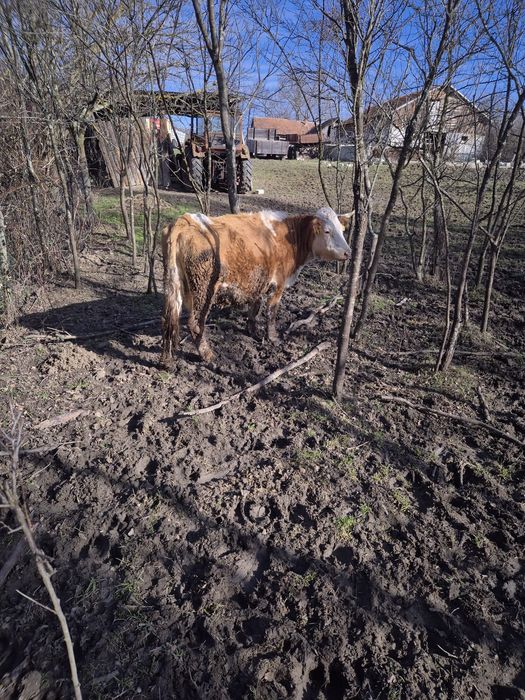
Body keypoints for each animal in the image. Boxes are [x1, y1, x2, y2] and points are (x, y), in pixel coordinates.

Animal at [160, 207, 352, 366]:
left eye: (342, 230)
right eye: (327, 231)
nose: (348, 252)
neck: (289, 236)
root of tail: (184, 221)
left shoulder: (259, 281)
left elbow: (255, 308)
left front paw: (253, 332)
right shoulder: (278, 284)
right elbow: (271, 312)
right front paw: (272, 337)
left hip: (174, 284)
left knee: (170, 319)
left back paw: (166, 360)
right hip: (204, 289)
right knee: (195, 323)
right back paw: (208, 355)